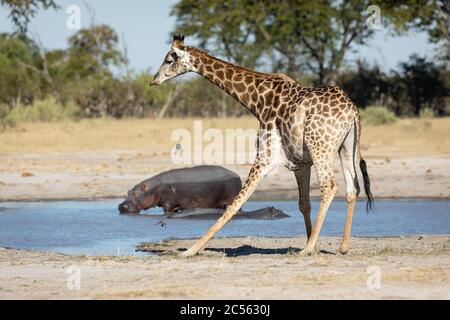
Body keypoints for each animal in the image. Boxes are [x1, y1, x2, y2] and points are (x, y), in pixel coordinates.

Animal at [149, 34, 374, 258]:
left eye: (169, 60)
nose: (154, 80)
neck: (257, 100)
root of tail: (352, 111)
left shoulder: (266, 157)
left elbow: (235, 204)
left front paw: (190, 250)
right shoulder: (301, 163)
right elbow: (304, 204)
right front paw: (315, 243)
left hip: (321, 147)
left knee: (330, 185)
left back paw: (307, 249)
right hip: (346, 148)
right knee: (352, 188)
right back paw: (342, 246)